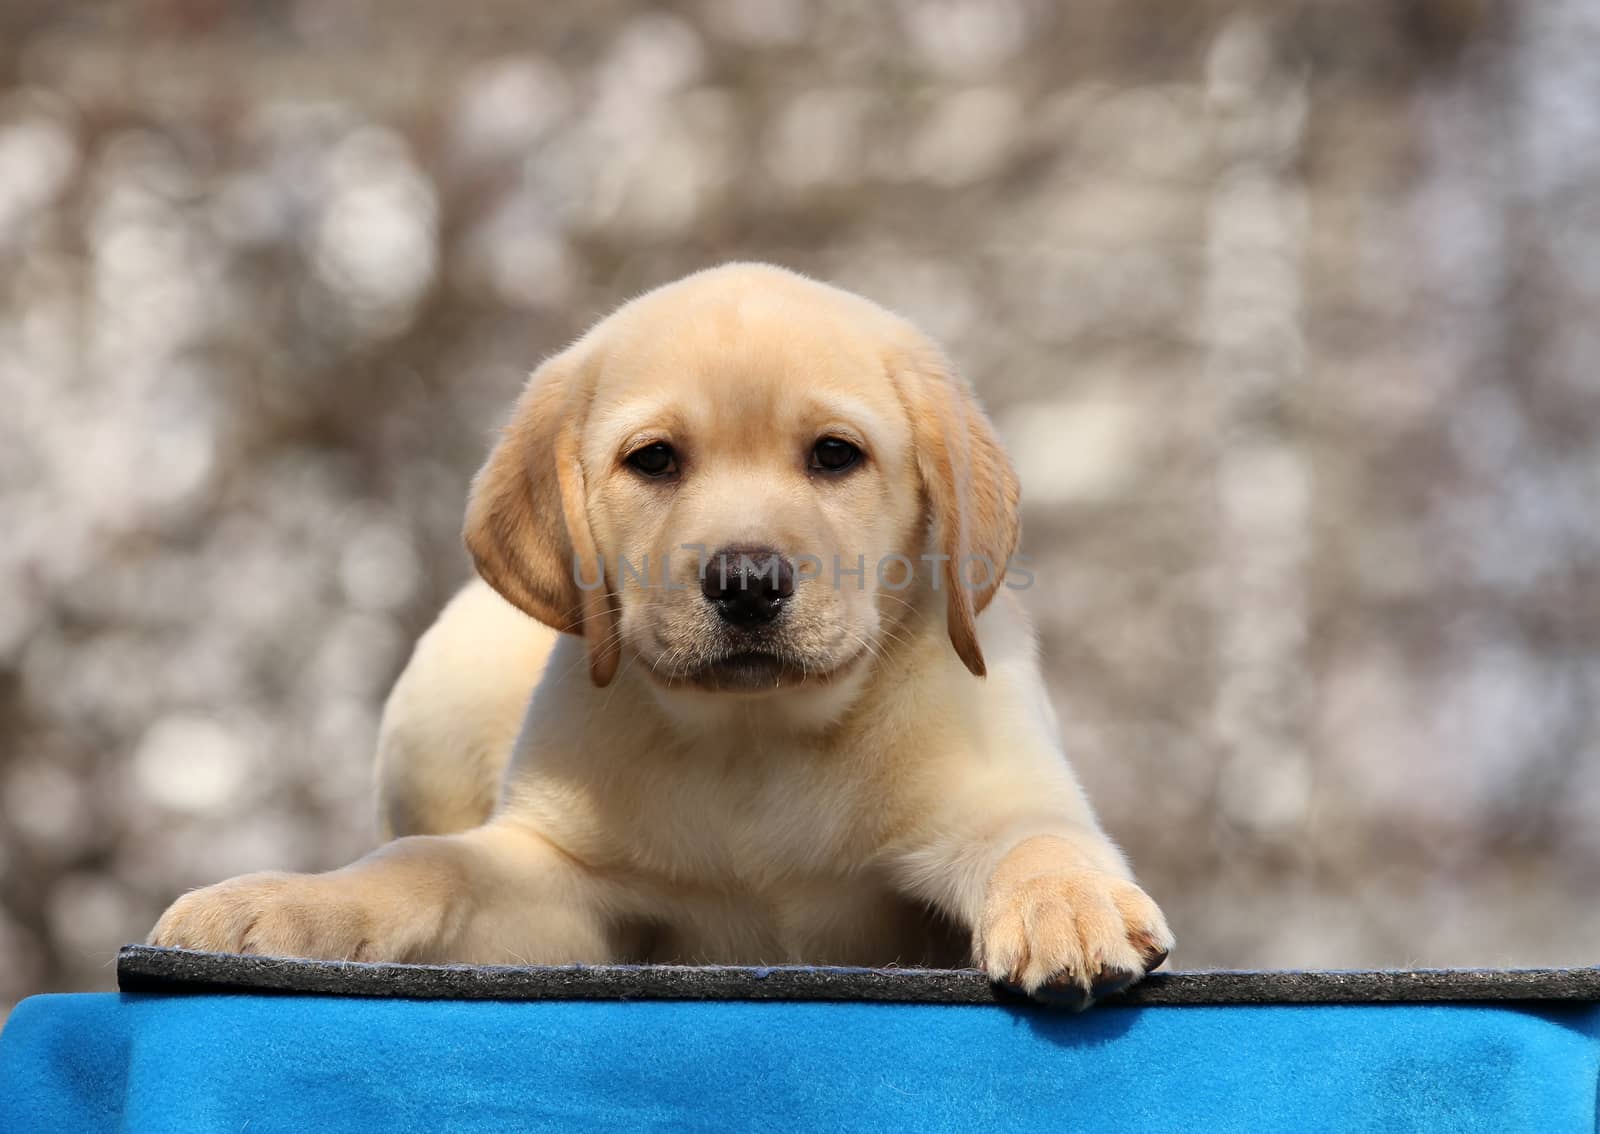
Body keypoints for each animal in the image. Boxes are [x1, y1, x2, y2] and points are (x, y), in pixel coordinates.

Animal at [152, 263, 1177, 998]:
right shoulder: (561, 882)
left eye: (835, 455)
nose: (748, 583)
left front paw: (1070, 907)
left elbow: (1039, 838)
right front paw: (280, 905)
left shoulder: (987, 801)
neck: (758, 743)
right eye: (653, 461)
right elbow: (427, 865)